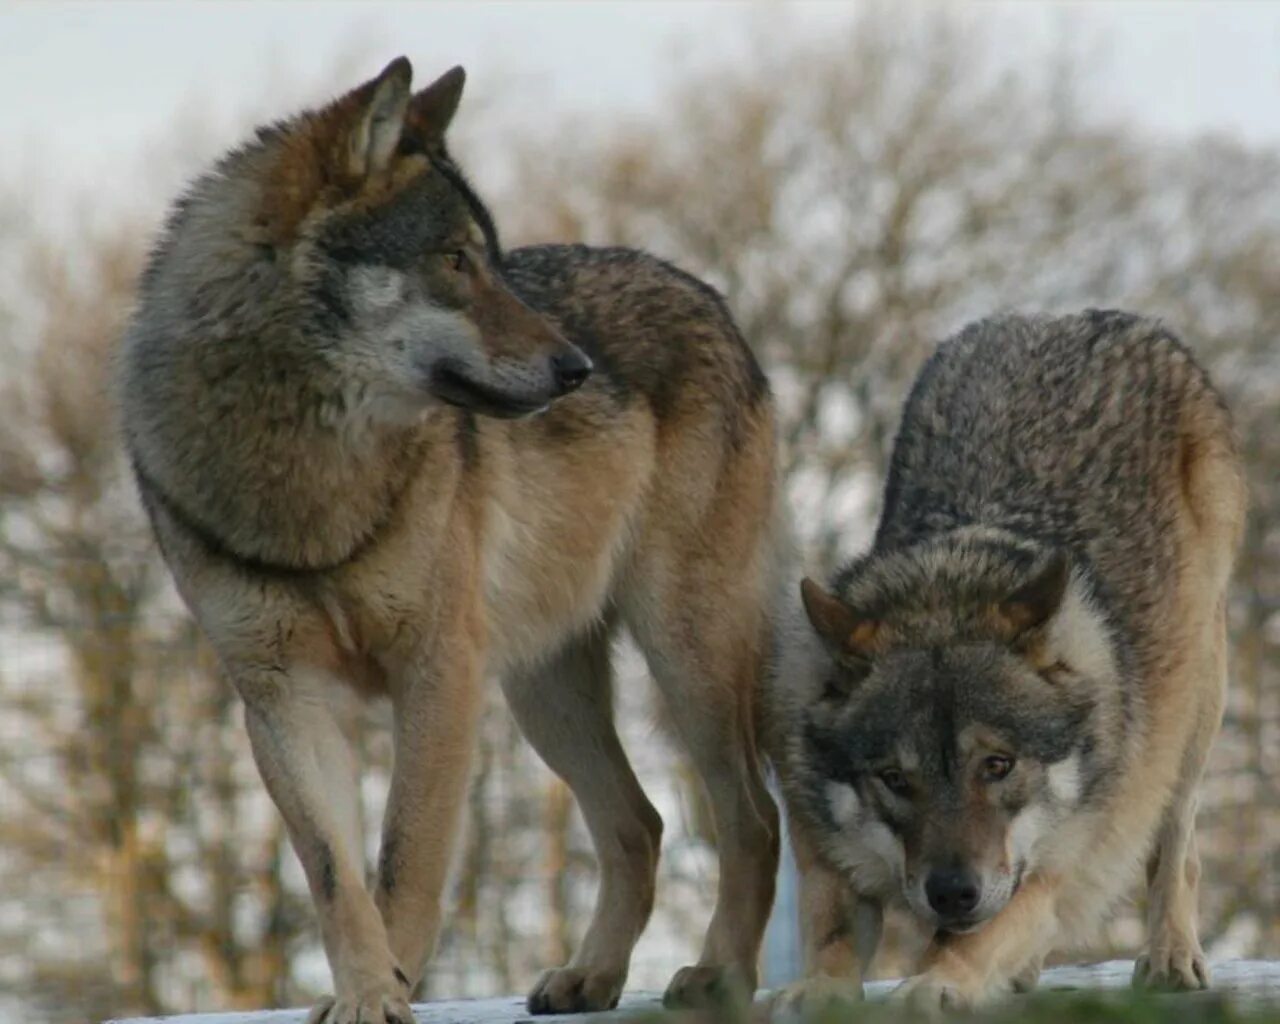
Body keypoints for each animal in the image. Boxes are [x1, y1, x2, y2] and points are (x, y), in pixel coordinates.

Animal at [120, 57, 783, 1024]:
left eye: (494, 260)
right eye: (456, 260)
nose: (578, 369)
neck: (306, 475)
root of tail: (713, 297)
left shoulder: (437, 673)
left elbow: (407, 859)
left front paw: (390, 991)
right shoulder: (281, 696)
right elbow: (335, 877)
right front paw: (364, 992)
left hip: (681, 657)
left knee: (752, 818)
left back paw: (719, 975)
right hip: (544, 691)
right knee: (641, 823)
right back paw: (591, 976)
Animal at [762, 308, 1244, 1013]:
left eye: (997, 765)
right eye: (895, 779)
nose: (951, 893)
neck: (944, 589)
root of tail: (1070, 315)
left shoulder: (1052, 868)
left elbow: (979, 935)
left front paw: (935, 982)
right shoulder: (823, 846)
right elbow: (832, 932)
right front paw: (817, 989)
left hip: (1195, 710)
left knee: (1178, 846)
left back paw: (1170, 956)